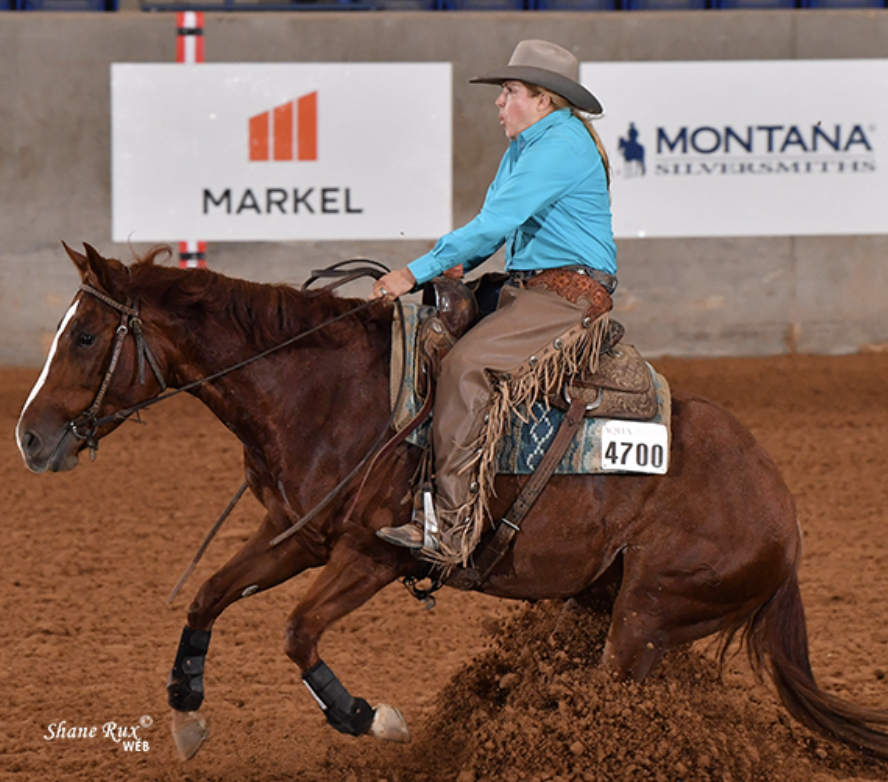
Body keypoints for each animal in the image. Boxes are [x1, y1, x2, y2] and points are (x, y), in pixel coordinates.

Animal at [15, 242, 888, 762]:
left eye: (85, 337)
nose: (29, 436)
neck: (325, 390)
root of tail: (783, 516)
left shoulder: (371, 553)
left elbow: (297, 632)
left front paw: (371, 718)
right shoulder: (295, 530)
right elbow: (208, 594)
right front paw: (188, 712)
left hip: (648, 615)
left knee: (612, 691)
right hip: (607, 599)